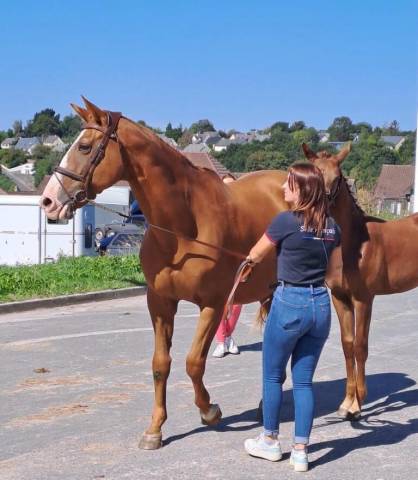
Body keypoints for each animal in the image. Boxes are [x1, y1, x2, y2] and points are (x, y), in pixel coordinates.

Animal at [40, 98, 288, 450]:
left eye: (85, 147)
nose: (48, 201)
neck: (183, 227)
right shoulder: (159, 302)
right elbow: (161, 364)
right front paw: (155, 429)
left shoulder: (213, 304)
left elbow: (193, 362)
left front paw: (209, 411)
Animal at [302, 141, 418, 418]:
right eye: (313, 176)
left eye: (337, 178)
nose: (319, 212)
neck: (353, 245)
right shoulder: (340, 298)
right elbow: (347, 346)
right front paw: (346, 403)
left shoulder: (364, 300)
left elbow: (360, 347)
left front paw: (358, 403)